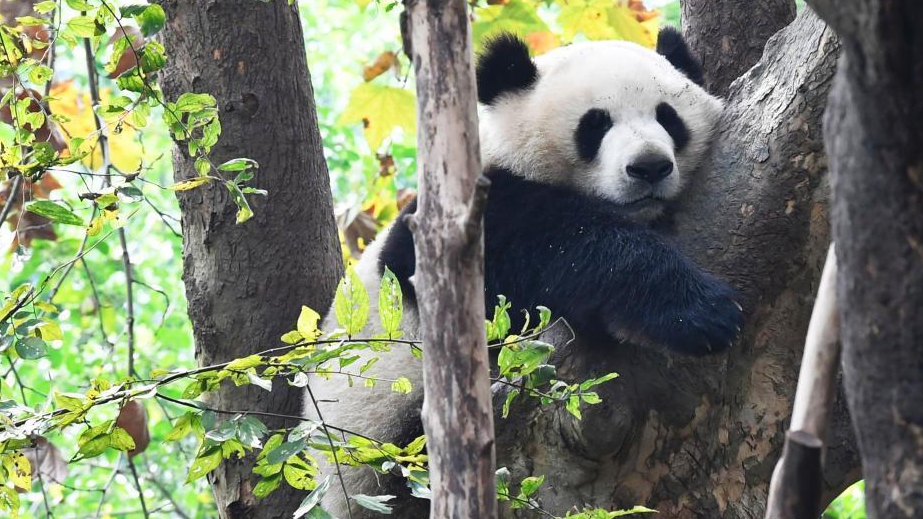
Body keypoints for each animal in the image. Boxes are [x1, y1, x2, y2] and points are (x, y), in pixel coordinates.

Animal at [308, 28, 744, 519]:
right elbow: (546, 240)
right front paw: (698, 312)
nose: (649, 166)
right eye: (595, 125)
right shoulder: (458, 222)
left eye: (668, 117)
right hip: (385, 445)